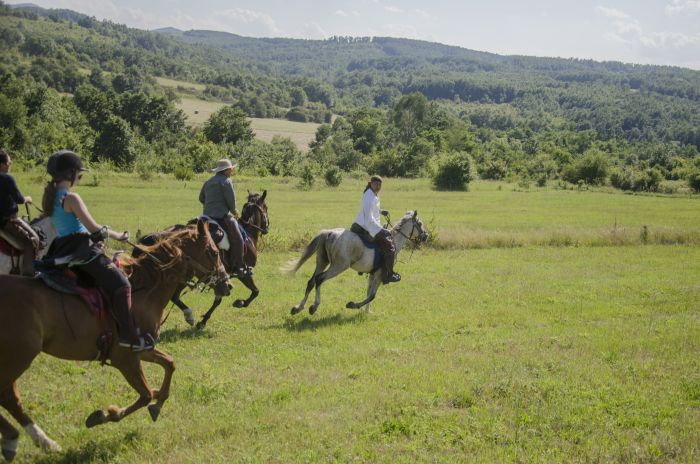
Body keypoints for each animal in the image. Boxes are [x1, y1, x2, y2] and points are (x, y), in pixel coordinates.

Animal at [0, 220, 230, 460]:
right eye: (214, 252)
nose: (228, 285)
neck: (144, 292)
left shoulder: (143, 349)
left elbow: (169, 364)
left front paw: (158, 402)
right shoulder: (126, 358)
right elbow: (145, 394)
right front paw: (106, 414)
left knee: (9, 397)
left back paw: (38, 441)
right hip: (18, 357)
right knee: (6, 394)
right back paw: (21, 438)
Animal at [138, 191, 270, 330]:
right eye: (266, 207)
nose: (267, 228)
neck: (248, 232)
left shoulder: (220, 277)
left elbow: (220, 298)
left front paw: (204, 320)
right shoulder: (243, 273)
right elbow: (255, 291)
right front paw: (240, 303)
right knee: (173, 296)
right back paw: (188, 315)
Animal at [284, 211, 426, 316]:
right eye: (420, 223)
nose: (426, 236)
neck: (394, 243)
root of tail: (329, 233)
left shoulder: (373, 274)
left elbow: (369, 293)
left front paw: (367, 311)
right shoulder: (380, 274)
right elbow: (372, 295)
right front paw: (353, 305)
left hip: (322, 262)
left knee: (311, 281)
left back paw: (298, 308)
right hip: (339, 266)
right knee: (319, 279)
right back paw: (314, 307)